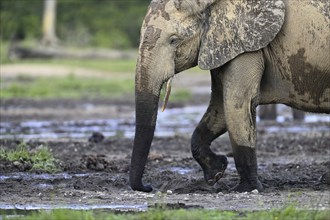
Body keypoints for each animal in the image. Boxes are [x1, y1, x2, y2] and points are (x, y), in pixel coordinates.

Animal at [130, 0, 330, 192]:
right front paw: (217, 173)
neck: (208, 3)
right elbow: (219, 106)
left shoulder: (247, 46)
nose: (149, 187)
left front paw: (246, 189)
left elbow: (236, 103)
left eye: (173, 40)